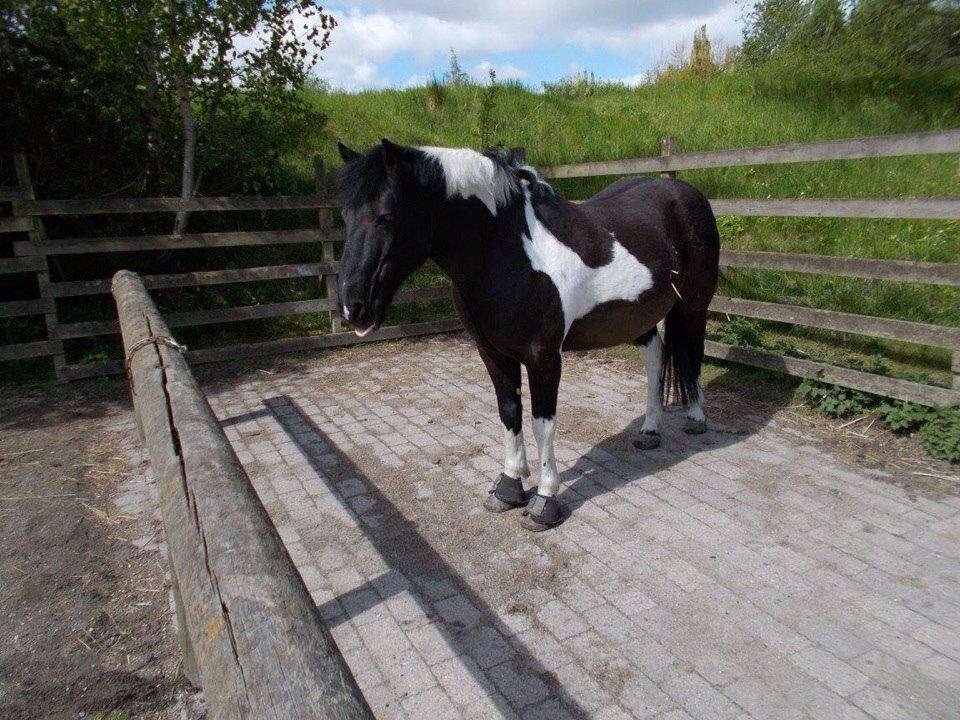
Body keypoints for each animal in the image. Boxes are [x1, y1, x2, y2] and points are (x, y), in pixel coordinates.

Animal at [334, 139, 720, 531]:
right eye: (345, 216)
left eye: (386, 216)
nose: (353, 307)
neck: (508, 253)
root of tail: (684, 192)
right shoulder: (492, 353)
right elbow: (509, 413)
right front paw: (508, 487)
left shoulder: (544, 357)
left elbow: (541, 424)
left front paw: (545, 501)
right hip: (637, 316)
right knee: (655, 358)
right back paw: (650, 429)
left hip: (693, 307)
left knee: (692, 353)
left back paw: (696, 419)